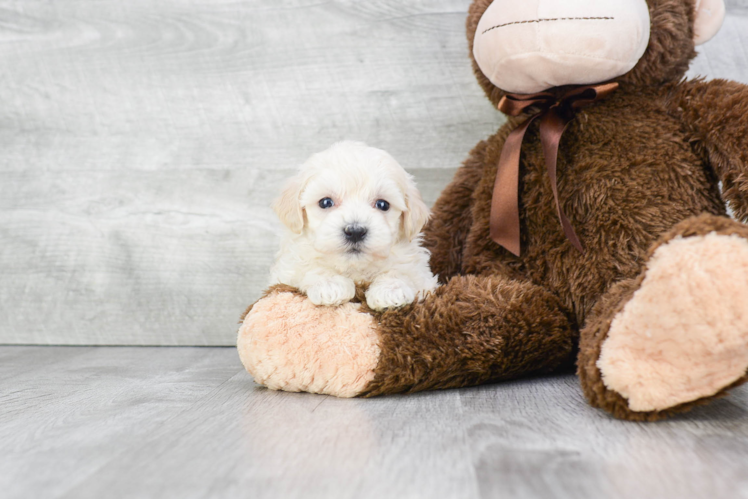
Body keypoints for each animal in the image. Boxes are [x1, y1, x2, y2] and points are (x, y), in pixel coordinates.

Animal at [270, 141, 438, 310]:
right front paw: (330, 285)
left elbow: (403, 271)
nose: (355, 231)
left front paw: (390, 290)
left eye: (382, 204)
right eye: (325, 202)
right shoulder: (287, 271)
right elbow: (308, 267)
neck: (354, 269)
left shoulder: (423, 277)